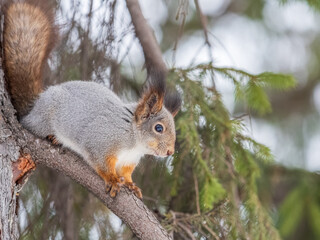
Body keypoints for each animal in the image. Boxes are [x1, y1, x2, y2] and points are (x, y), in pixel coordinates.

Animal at [3, 0, 181, 199]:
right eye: (158, 128)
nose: (170, 151)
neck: (134, 140)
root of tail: (35, 105)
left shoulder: (128, 161)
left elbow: (126, 174)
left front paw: (131, 185)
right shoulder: (101, 141)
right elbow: (101, 162)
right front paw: (112, 180)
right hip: (43, 118)